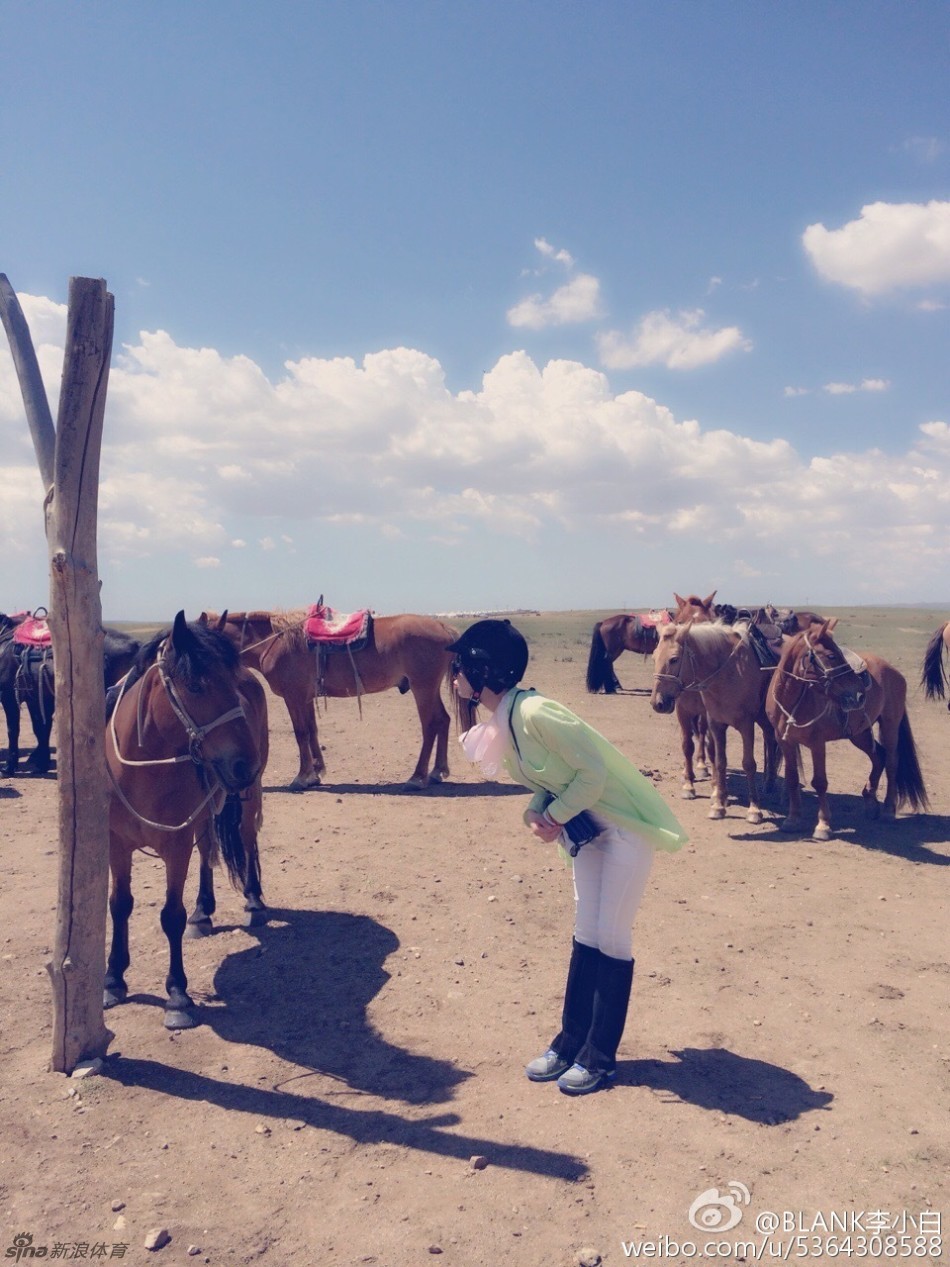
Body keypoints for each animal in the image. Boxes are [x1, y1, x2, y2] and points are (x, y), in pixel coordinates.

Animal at [104, 613, 268, 1028]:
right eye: (195, 685)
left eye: (232, 683)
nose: (244, 763)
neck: (141, 768)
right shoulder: (117, 843)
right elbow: (120, 905)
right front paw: (113, 980)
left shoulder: (175, 846)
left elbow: (171, 916)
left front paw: (177, 995)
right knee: (208, 849)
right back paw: (203, 912)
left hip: (248, 796)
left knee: (246, 837)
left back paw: (254, 900)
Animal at [207, 605, 461, 790]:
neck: (275, 641)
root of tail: (443, 626)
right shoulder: (306, 697)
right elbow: (312, 731)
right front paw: (317, 772)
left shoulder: (294, 696)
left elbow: (300, 733)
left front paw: (302, 777)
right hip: (429, 689)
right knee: (443, 720)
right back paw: (438, 771)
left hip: (423, 688)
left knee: (430, 725)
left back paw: (417, 777)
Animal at [765, 615, 932, 841]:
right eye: (831, 656)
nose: (859, 694)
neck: (790, 699)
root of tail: (894, 671)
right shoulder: (785, 741)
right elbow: (792, 779)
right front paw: (792, 820)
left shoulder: (817, 743)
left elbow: (820, 782)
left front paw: (823, 825)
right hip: (859, 733)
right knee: (878, 756)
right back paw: (870, 803)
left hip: (890, 725)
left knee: (891, 761)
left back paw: (888, 810)